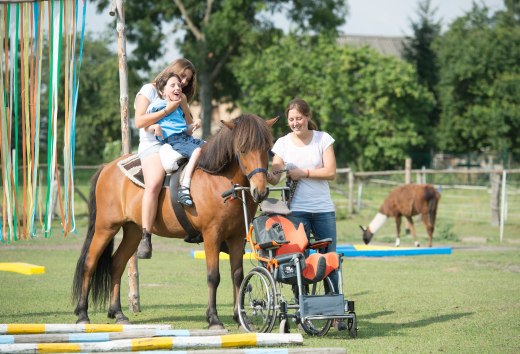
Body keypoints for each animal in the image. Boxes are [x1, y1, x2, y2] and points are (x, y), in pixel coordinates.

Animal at [71, 114, 278, 330]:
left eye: (267, 149)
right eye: (243, 149)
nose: (260, 191)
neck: (217, 178)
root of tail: (107, 168)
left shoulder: (236, 237)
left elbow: (237, 275)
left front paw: (240, 317)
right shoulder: (212, 235)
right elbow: (213, 276)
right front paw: (213, 318)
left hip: (133, 231)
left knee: (116, 264)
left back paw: (118, 313)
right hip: (106, 228)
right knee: (89, 263)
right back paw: (83, 313)